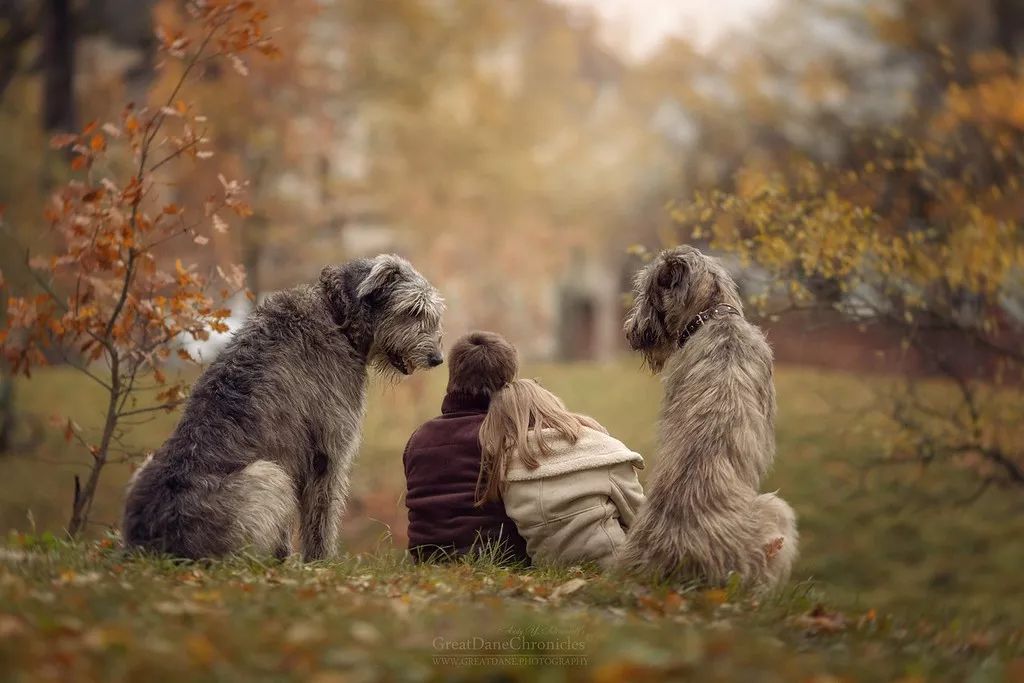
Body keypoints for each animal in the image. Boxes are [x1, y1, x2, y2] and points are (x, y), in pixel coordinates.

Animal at [121, 253, 442, 557]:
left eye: (434, 315)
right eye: (413, 310)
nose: (437, 359)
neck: (337, 315)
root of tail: (151, 540)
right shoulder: (328, 450)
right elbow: (322, 517)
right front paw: (320, 563)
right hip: (269, 476)